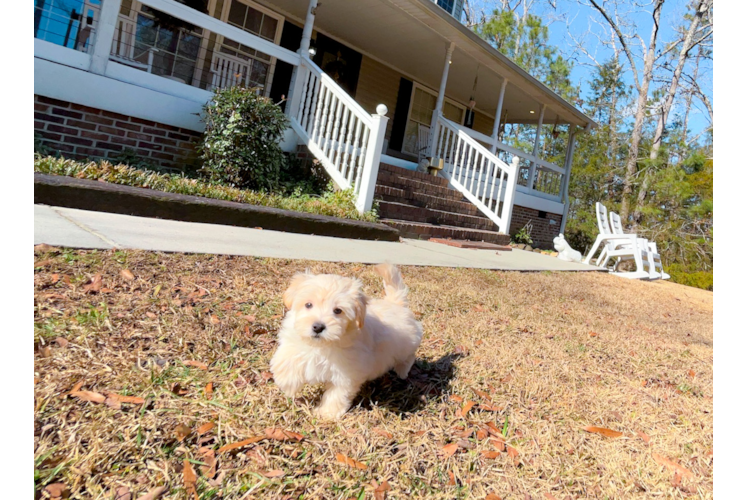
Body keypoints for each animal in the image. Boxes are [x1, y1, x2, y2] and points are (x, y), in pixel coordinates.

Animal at [268, 264, 420, 420]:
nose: (318, 327)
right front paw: (287, 382)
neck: (323, 345)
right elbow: (287, 358)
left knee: (409, 356)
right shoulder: (295, 342)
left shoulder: (347, 371)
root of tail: (396, 303)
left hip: (405, 346)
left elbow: (338, 393)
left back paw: (402, 371)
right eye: (308, 304)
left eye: (338, 310)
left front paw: (327, 413)